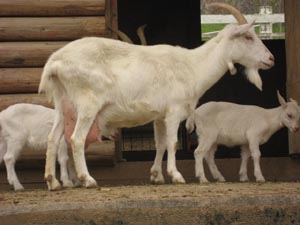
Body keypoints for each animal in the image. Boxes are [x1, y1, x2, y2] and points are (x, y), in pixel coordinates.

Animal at [39, 2, 274, 191]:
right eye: (248, 36)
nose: (271, 59)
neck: (193, 66)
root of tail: (55, 62)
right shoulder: (173, 112)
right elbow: (172, 142)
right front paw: (176, 175)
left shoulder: (159, 116)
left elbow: (160, 144)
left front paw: (156, 176)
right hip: (88, 105)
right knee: (76, 139)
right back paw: (87, 180)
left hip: (62, 104)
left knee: (52, 138)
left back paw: (52, 182)